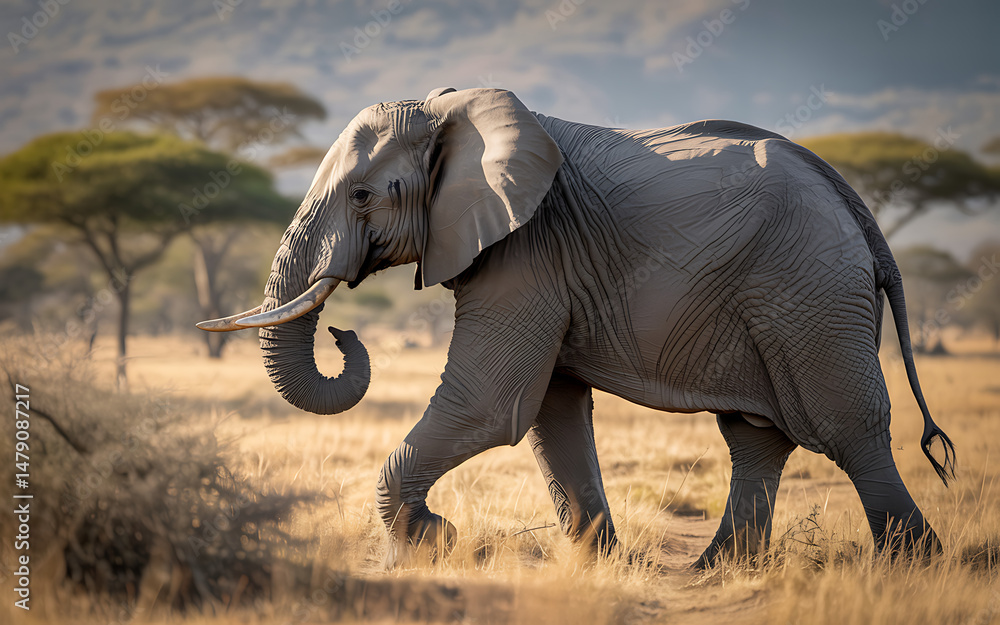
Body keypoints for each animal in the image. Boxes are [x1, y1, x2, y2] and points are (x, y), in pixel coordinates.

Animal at [199, 87, 956, 568]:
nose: (343, 334)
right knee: (756, 436)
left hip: (811, 291)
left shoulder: (528, 249)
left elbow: (489, 404)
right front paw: (601, 564)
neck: (452, 109)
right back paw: (720, 570)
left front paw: (426, 542)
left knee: (846, 426)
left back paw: (914, 564)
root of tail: (859, 211)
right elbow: (550, 413)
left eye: (362, 195)